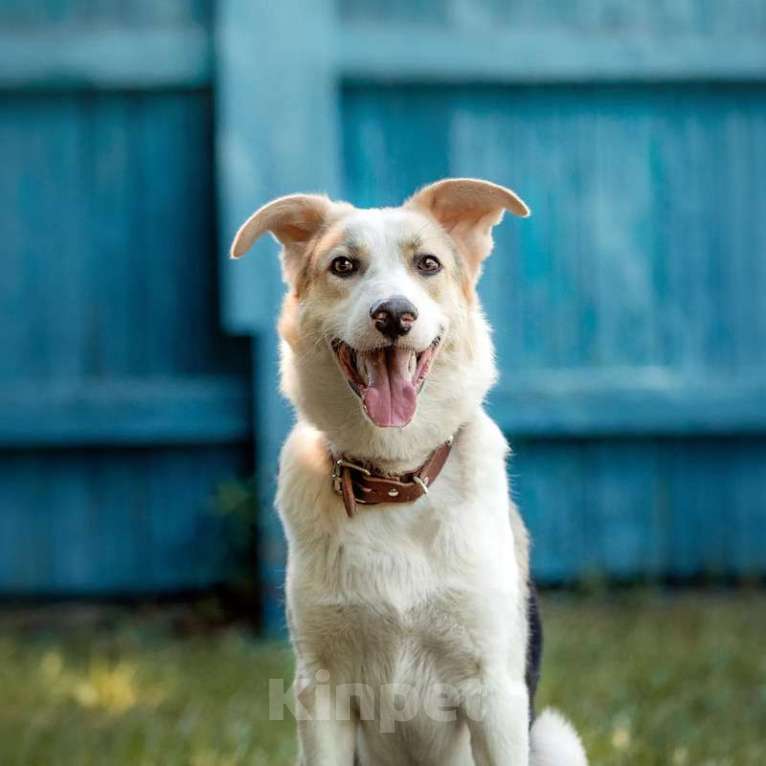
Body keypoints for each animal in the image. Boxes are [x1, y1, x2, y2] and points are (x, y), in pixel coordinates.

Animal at [231, 177, 592, 764]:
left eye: (428, 264)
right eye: (343, 265)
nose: (394, 315)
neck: (395, 479)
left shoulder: (496, 693)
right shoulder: (322, 691)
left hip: (555, 737)